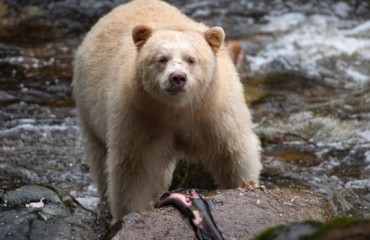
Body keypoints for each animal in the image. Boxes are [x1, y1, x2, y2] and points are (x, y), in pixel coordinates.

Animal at [72, 0, 262, 222]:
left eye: (191, 59)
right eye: (161, 58)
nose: (177, 77)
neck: (177, 108)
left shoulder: (214, 111)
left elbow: (232, 152)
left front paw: (244, 185)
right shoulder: (139, 115)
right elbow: (133, 168)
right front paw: (127, 214)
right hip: (88, 105)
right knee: (100, 157)